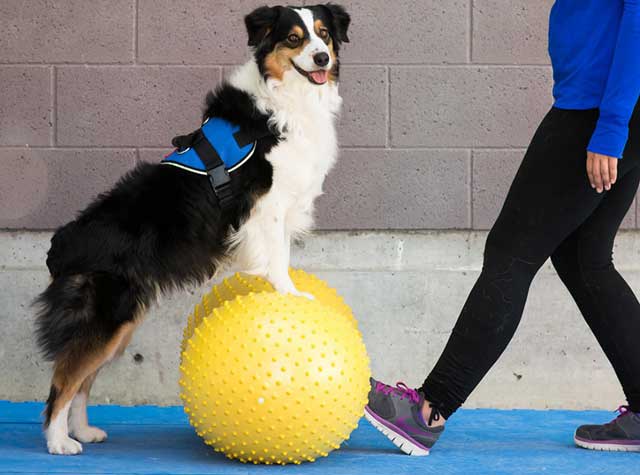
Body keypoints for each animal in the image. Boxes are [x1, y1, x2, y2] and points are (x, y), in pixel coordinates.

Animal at [34, 4, 350, 458]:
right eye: (294, 38)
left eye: (323, 34)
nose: (322, 58)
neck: (286, 98)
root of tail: (59, 246)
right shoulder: (267, 206)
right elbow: (277, 258)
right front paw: (289, 293)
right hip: (106, 315)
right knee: (65, 376)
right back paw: (59, 441)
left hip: (122, 322)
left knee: (83, 377)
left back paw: (83, 431)